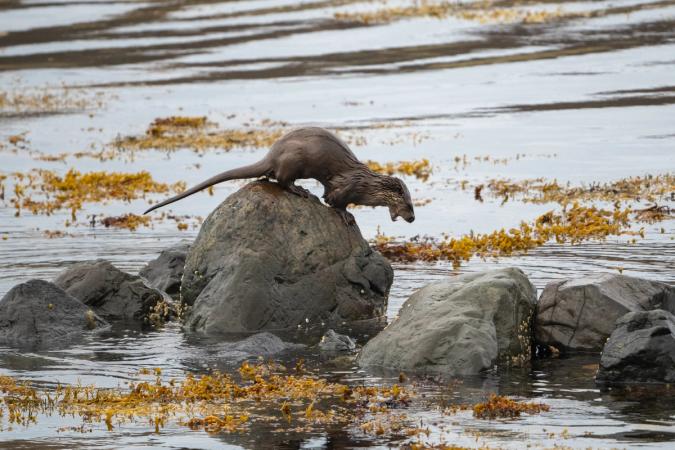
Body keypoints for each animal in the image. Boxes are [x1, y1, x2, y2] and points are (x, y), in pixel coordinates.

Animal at [145, 125, 414, 224]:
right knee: (282, 180)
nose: (411, 219)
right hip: (294, 160)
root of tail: (272, 155)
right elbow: (335, 201)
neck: (367, 185)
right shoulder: (348, 186)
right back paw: (301, 191)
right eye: (409, 205)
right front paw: (346, 215)